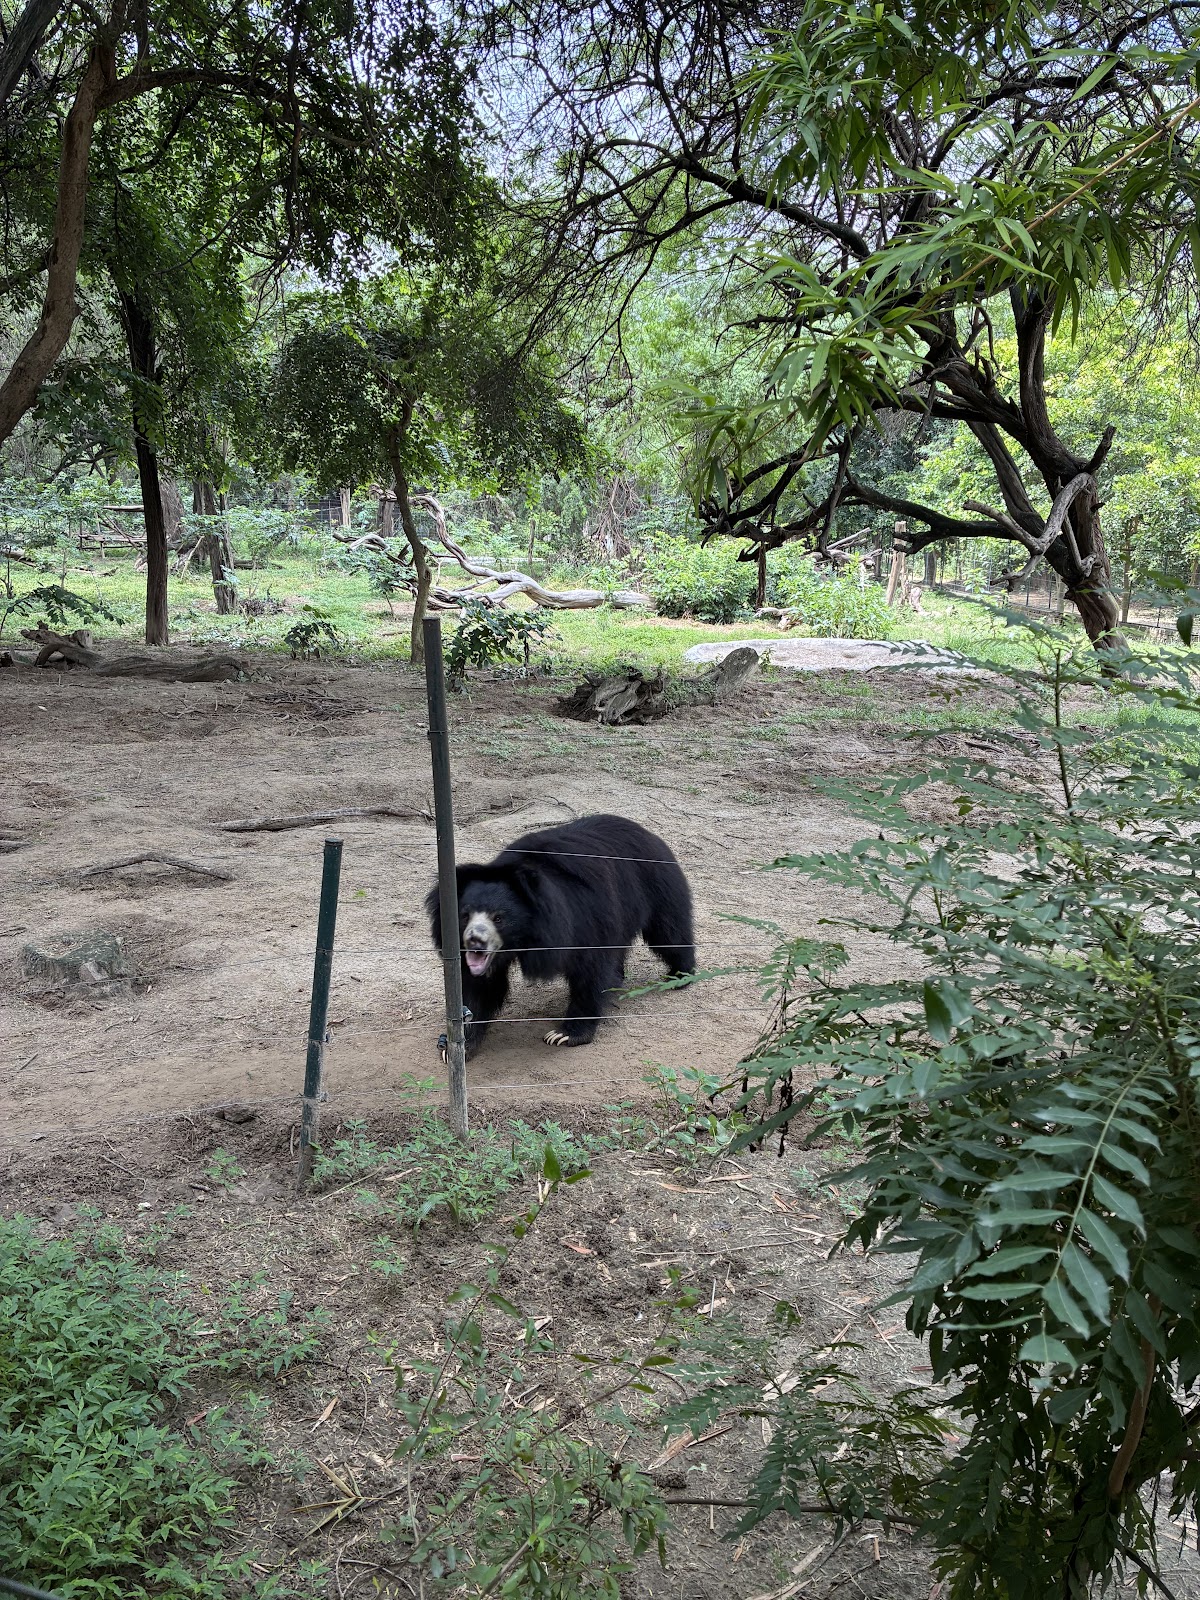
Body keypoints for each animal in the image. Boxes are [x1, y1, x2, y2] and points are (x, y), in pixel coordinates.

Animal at [425, 813, 695, 1058]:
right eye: (464, 915)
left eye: (498, 918)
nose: (475, 941)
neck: (527, 938)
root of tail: (646, 832)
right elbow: (480, 989)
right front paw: (457, 1044)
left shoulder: (587, 918)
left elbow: (591, 971)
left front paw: (565, 1034)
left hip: (657, 884)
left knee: (669, 931)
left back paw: (679, 975)